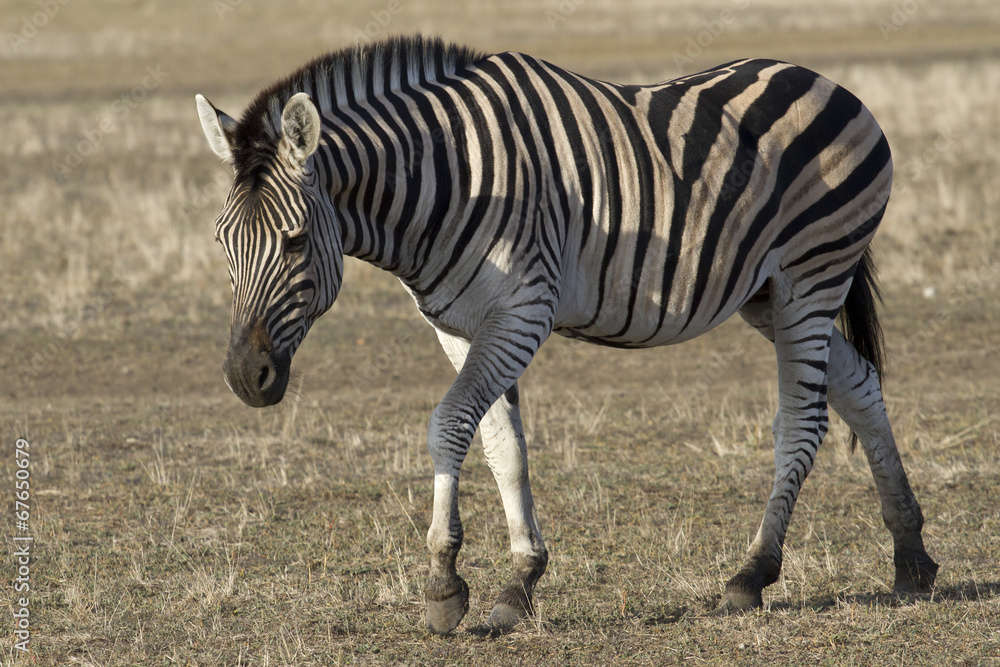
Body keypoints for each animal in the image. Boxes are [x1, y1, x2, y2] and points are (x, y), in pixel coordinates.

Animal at [195, 35, 938, 634]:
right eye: (222, 241)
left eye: (294, 242)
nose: (245, 378)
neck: (447, 184)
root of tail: (827, 81)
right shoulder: (460, 327)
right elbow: (502, 445)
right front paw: (520, 580)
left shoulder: (524, 310)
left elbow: (448, 424)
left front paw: (443, 584)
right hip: (767, 294)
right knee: (860, 385)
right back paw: (911, 556)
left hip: (811, 278)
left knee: (804, 420)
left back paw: (753, 573)